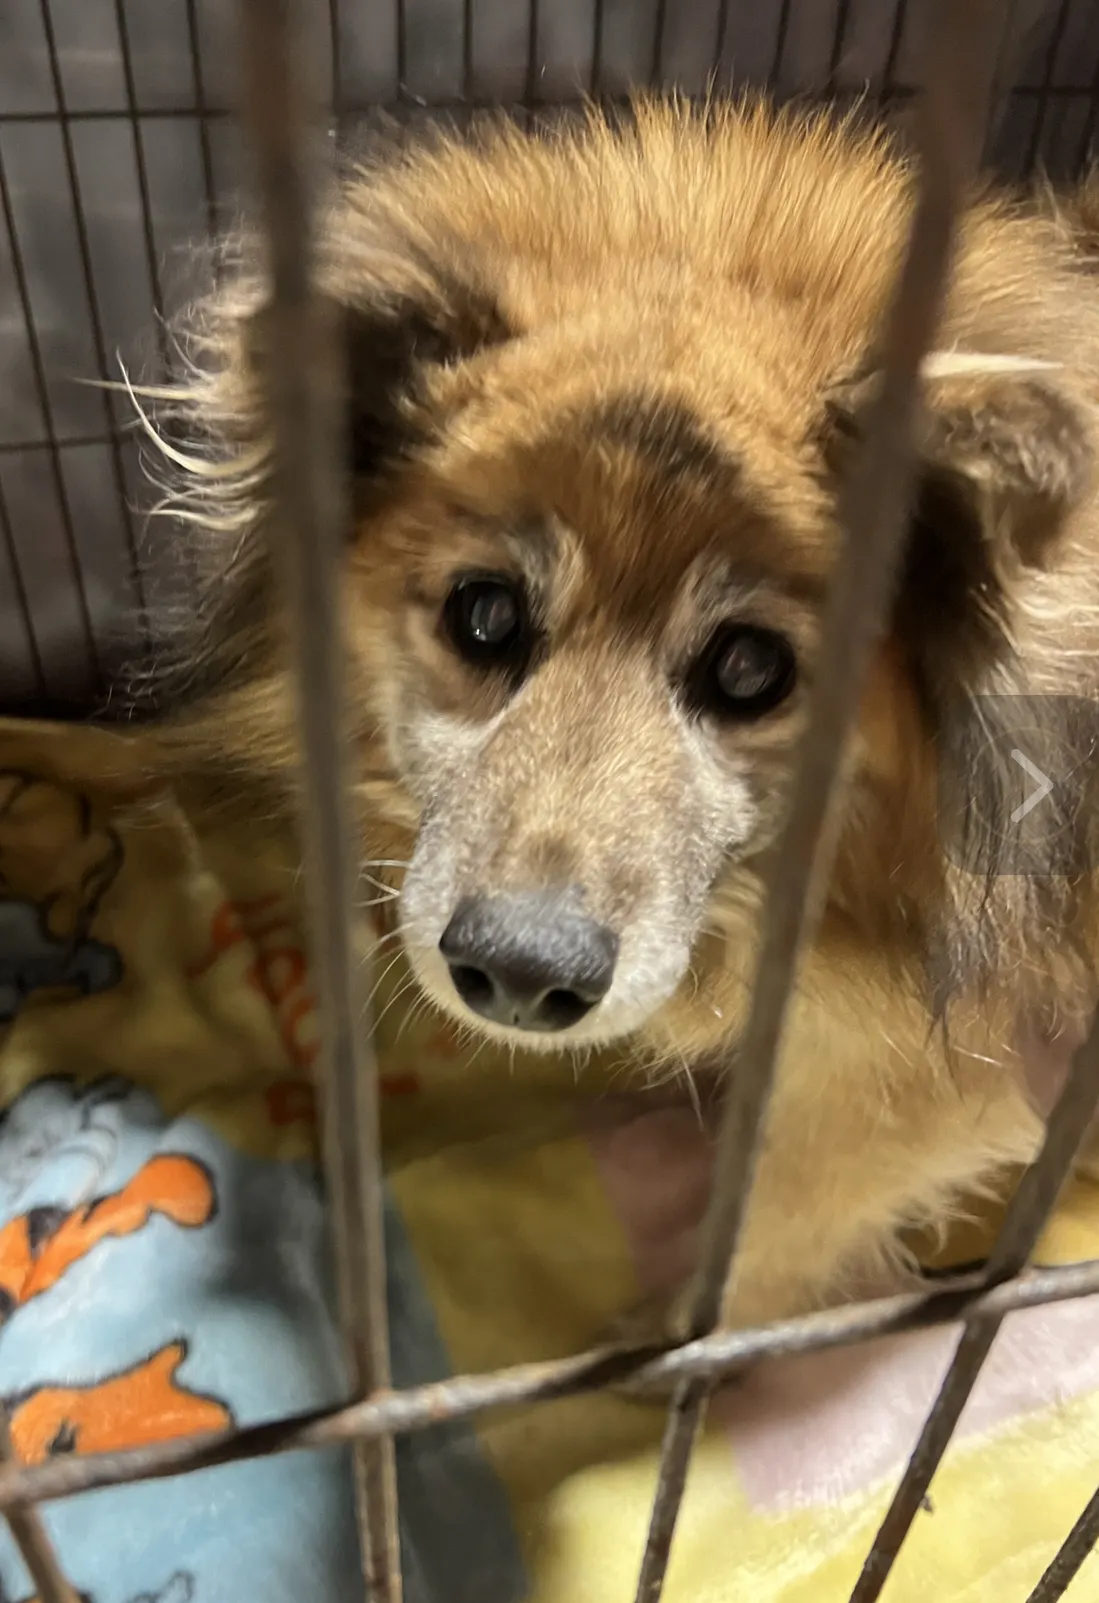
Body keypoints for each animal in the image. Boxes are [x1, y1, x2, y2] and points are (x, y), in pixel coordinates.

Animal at [124, 95, 1099, 1340]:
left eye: (748, 668)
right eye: (486, 613)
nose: (519, 973)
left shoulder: (914, 1090)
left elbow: (766, 1230)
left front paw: (668, 1342)